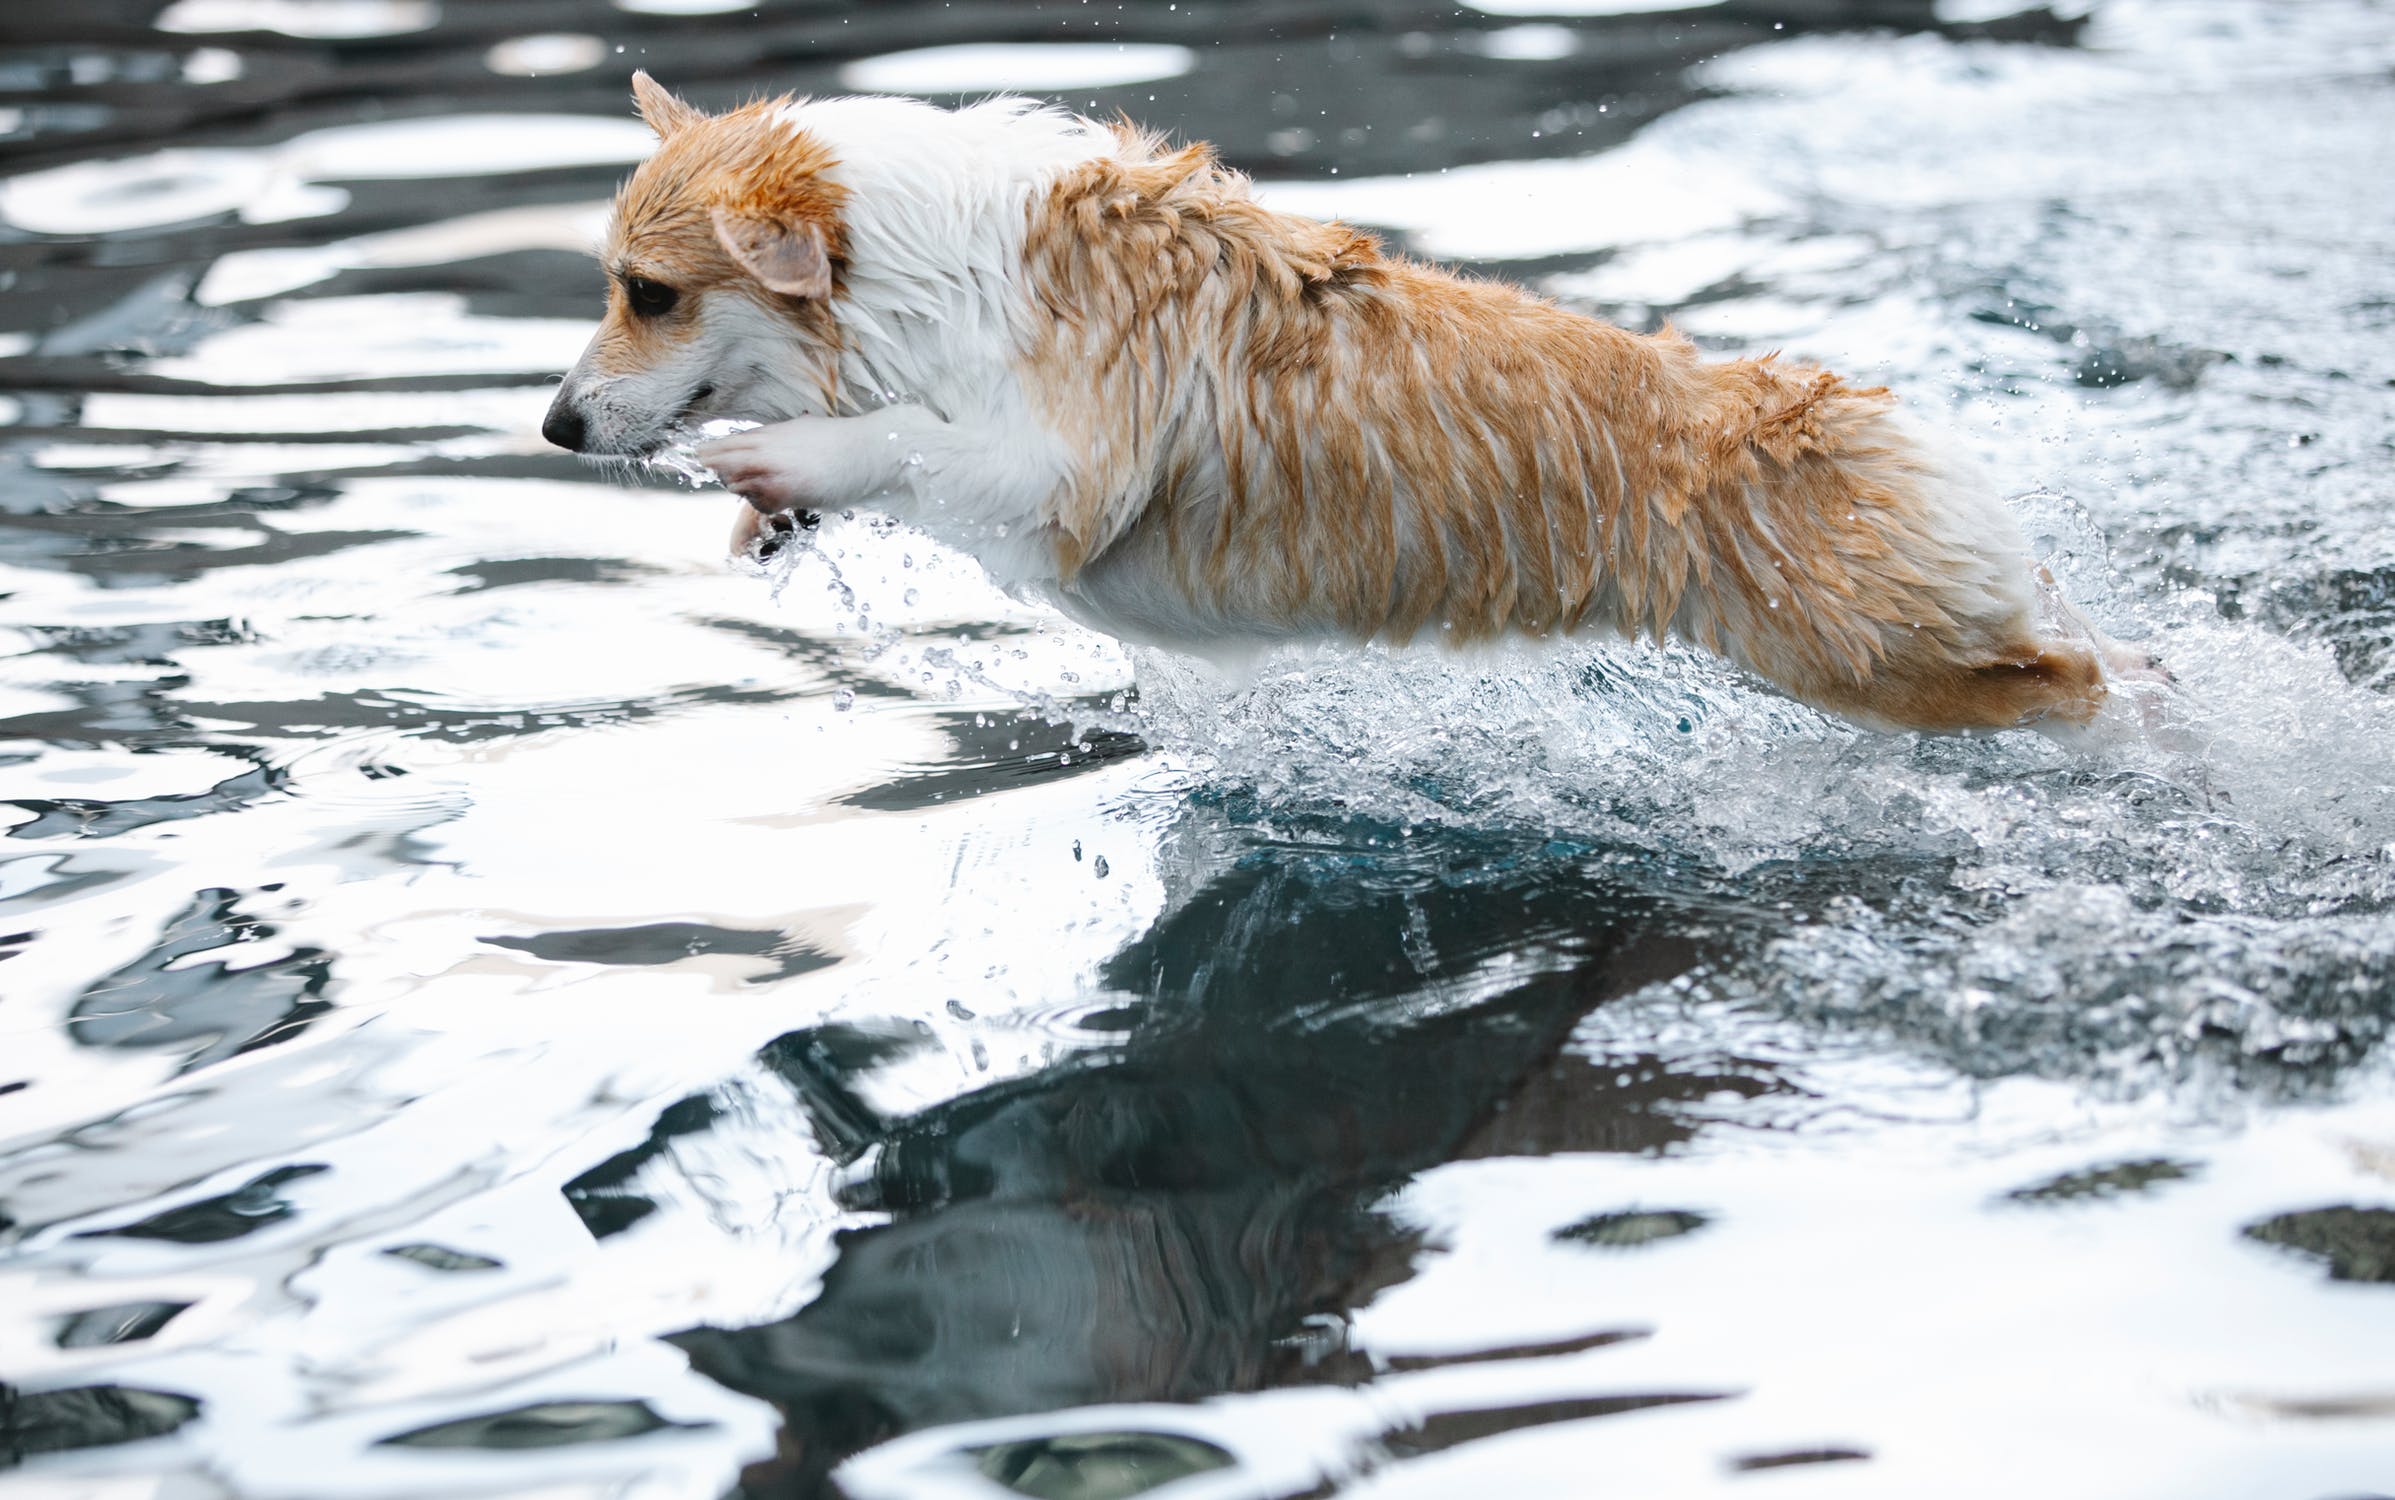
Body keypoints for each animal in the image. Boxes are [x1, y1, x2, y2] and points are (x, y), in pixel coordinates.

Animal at [548, 74, 2155, 728]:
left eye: (651, 293)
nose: (554, 428)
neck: (909, 264)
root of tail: (1844, 406)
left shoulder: (1060, 471)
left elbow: (902, 442)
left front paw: (782, 460)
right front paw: (768, 516)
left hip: (1878, 662)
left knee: (2082, 685)